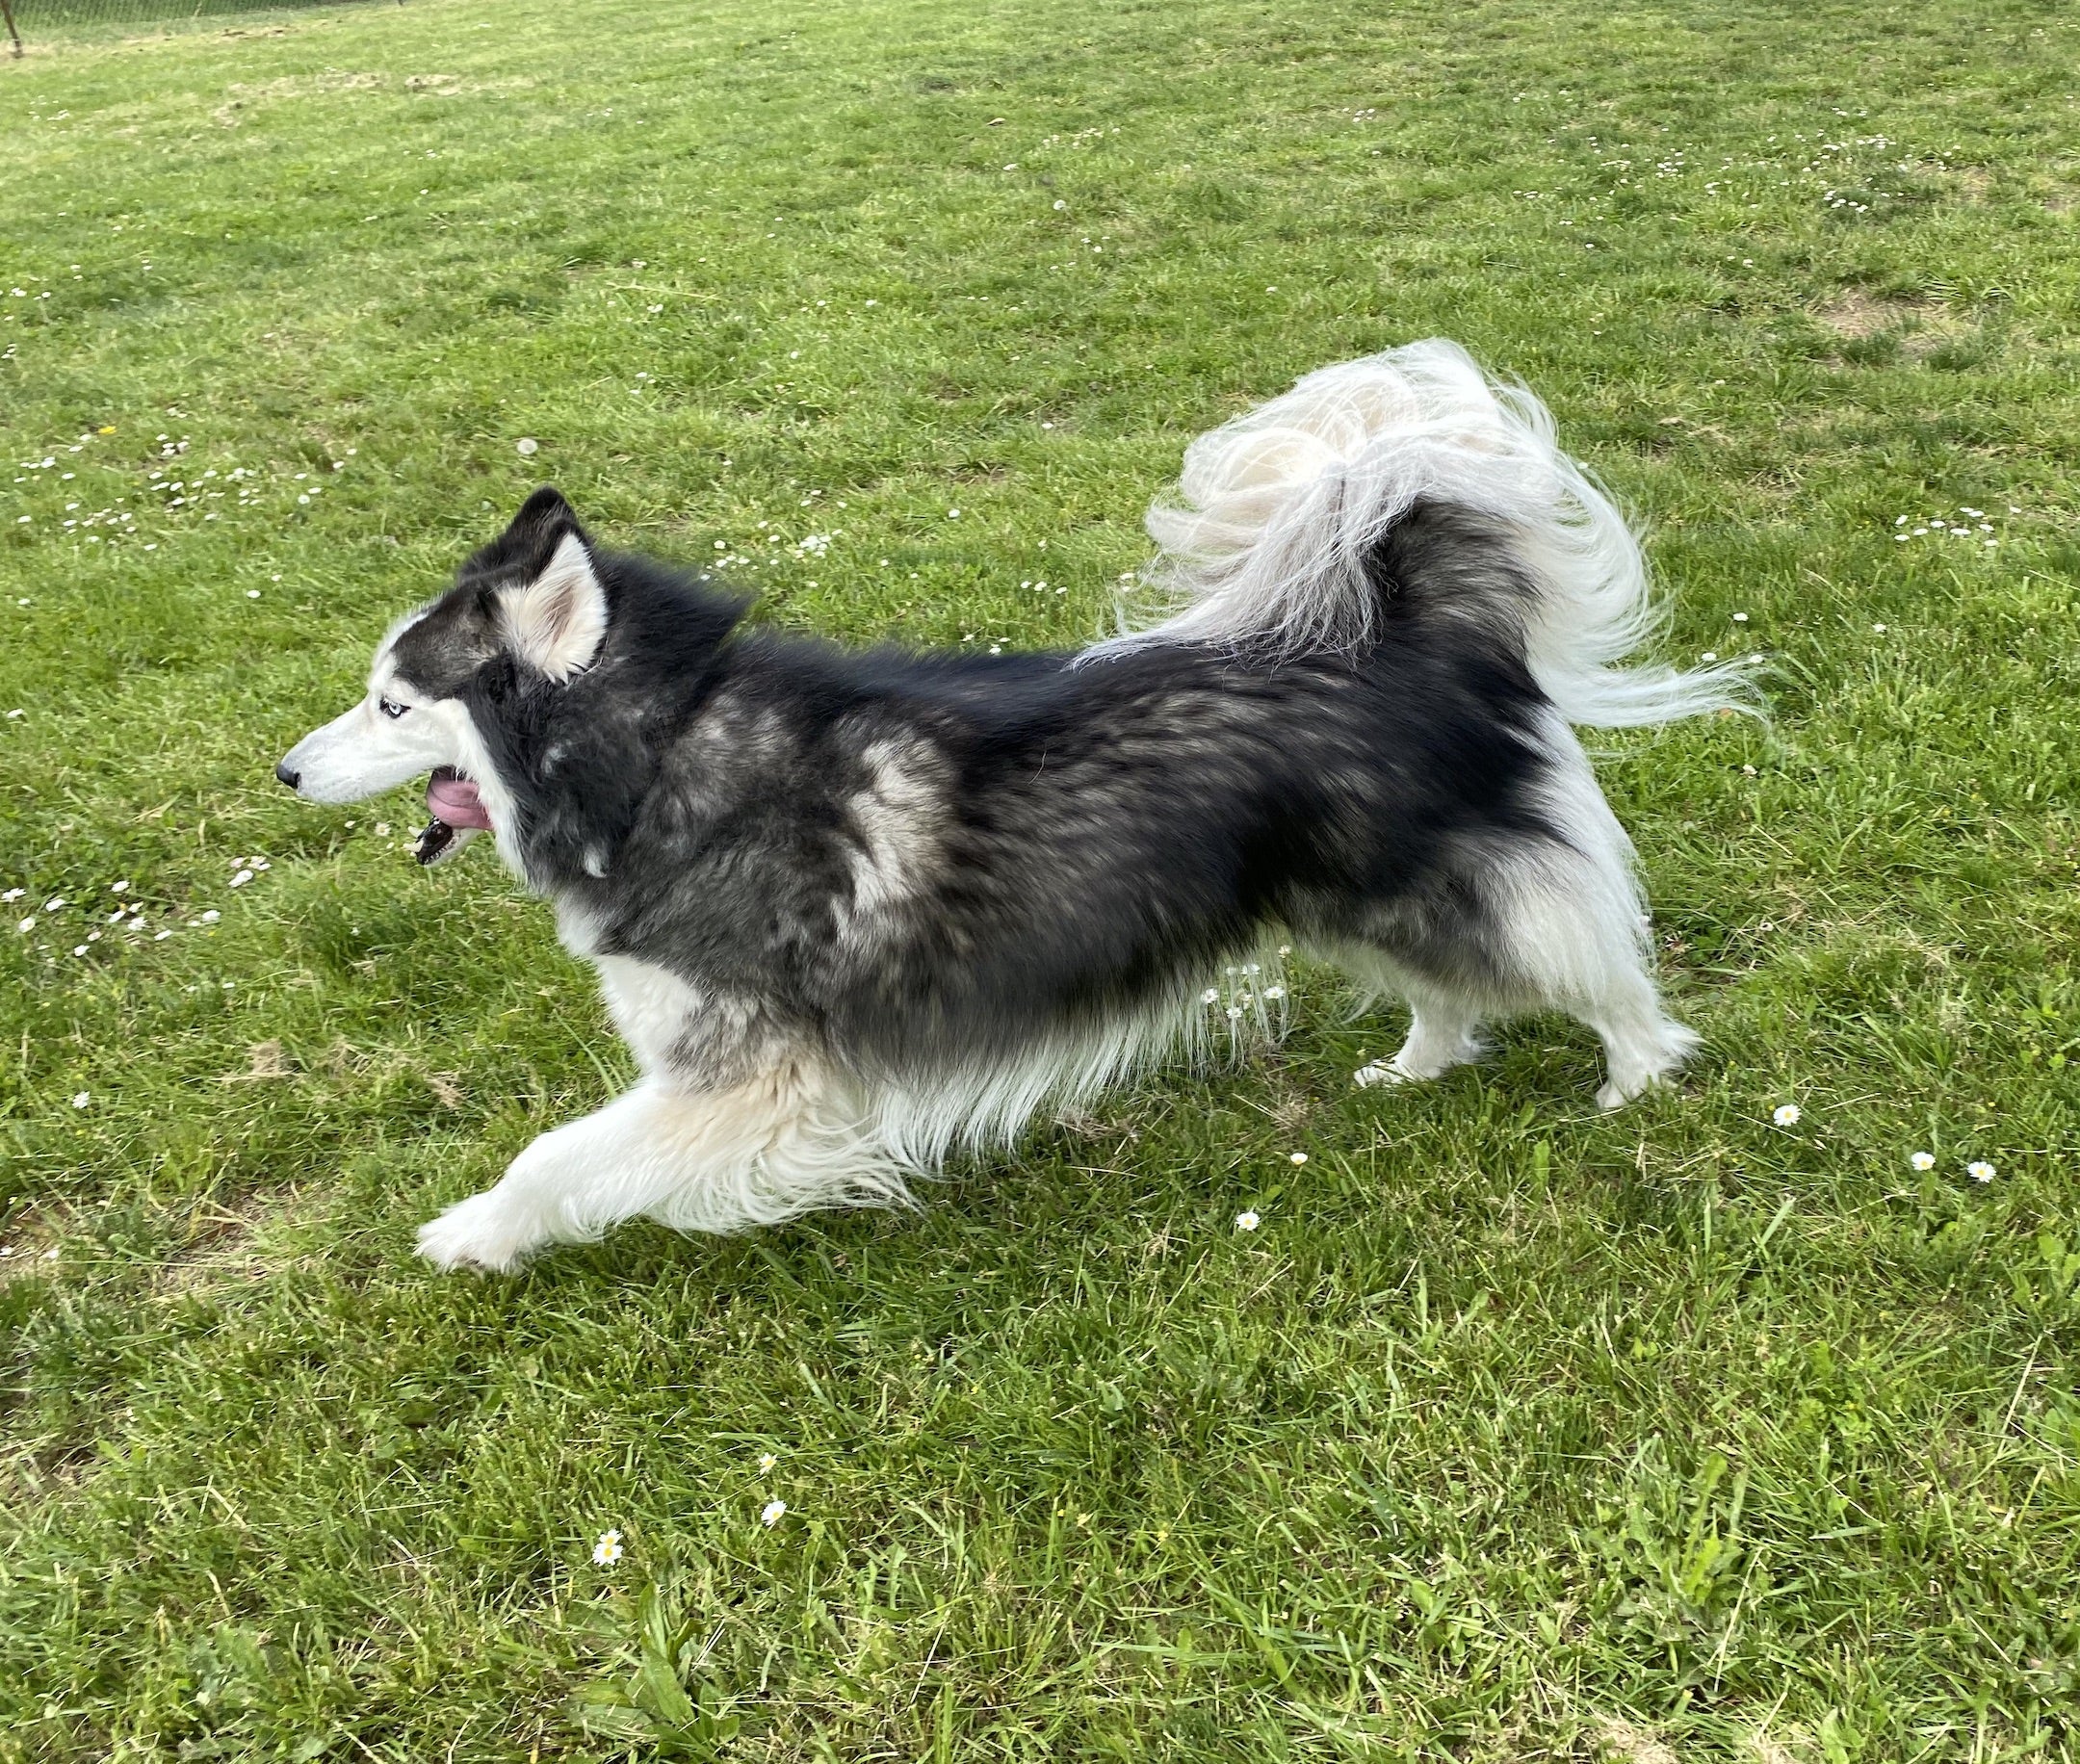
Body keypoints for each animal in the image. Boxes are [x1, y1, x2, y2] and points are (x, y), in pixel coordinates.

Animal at [272, 336, 1738, 1264]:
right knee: (1447, 993)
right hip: (1344, 899)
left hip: (1444, 885)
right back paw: (1417, 1067)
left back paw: (1638, 1077)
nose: (282, 771)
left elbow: (555, 1157)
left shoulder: (755, 1076)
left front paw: (472, 1235)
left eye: (392, 704)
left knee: (1591, 965)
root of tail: (1411, 622)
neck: (663, 759)